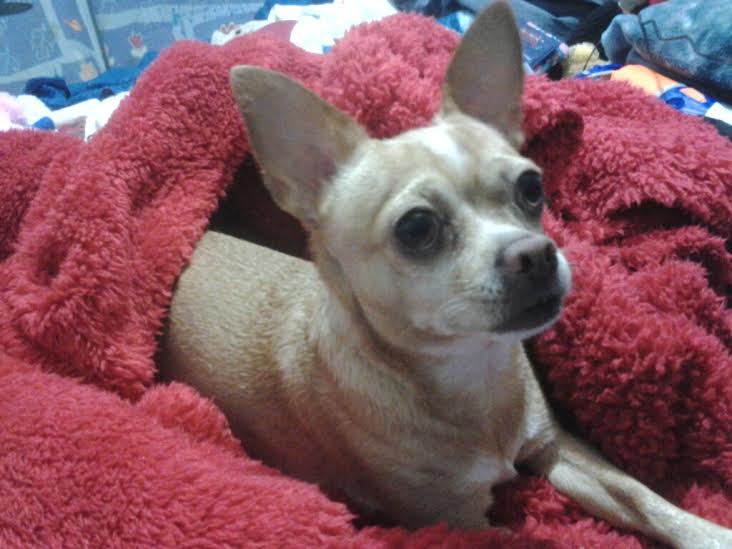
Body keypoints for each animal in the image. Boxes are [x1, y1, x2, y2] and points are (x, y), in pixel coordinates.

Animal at [159, 3, 732, 544]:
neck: (473, 375)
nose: (536, 253)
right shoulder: (457, 522)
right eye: (416, 228)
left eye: (532, 187)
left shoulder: (558, 450)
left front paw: (709, 533)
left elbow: (644, 499)